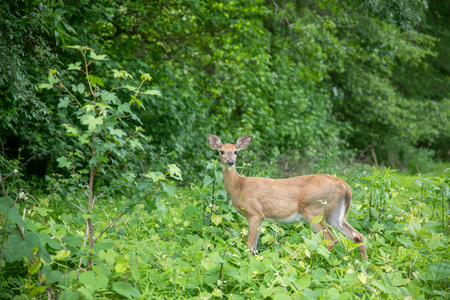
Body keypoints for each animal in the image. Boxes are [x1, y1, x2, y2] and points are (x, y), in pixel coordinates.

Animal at [209, 135, 368, 262]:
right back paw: (364, 268)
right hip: (333, 214)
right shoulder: (261, 217)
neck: (240, 187)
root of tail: (344, 185)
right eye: (221, 151)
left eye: (236, 151)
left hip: (313, 210)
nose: (230, 161)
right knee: (357, 236)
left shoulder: (254, 213)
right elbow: (254, 248)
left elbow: (249, 246)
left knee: (330, 239)